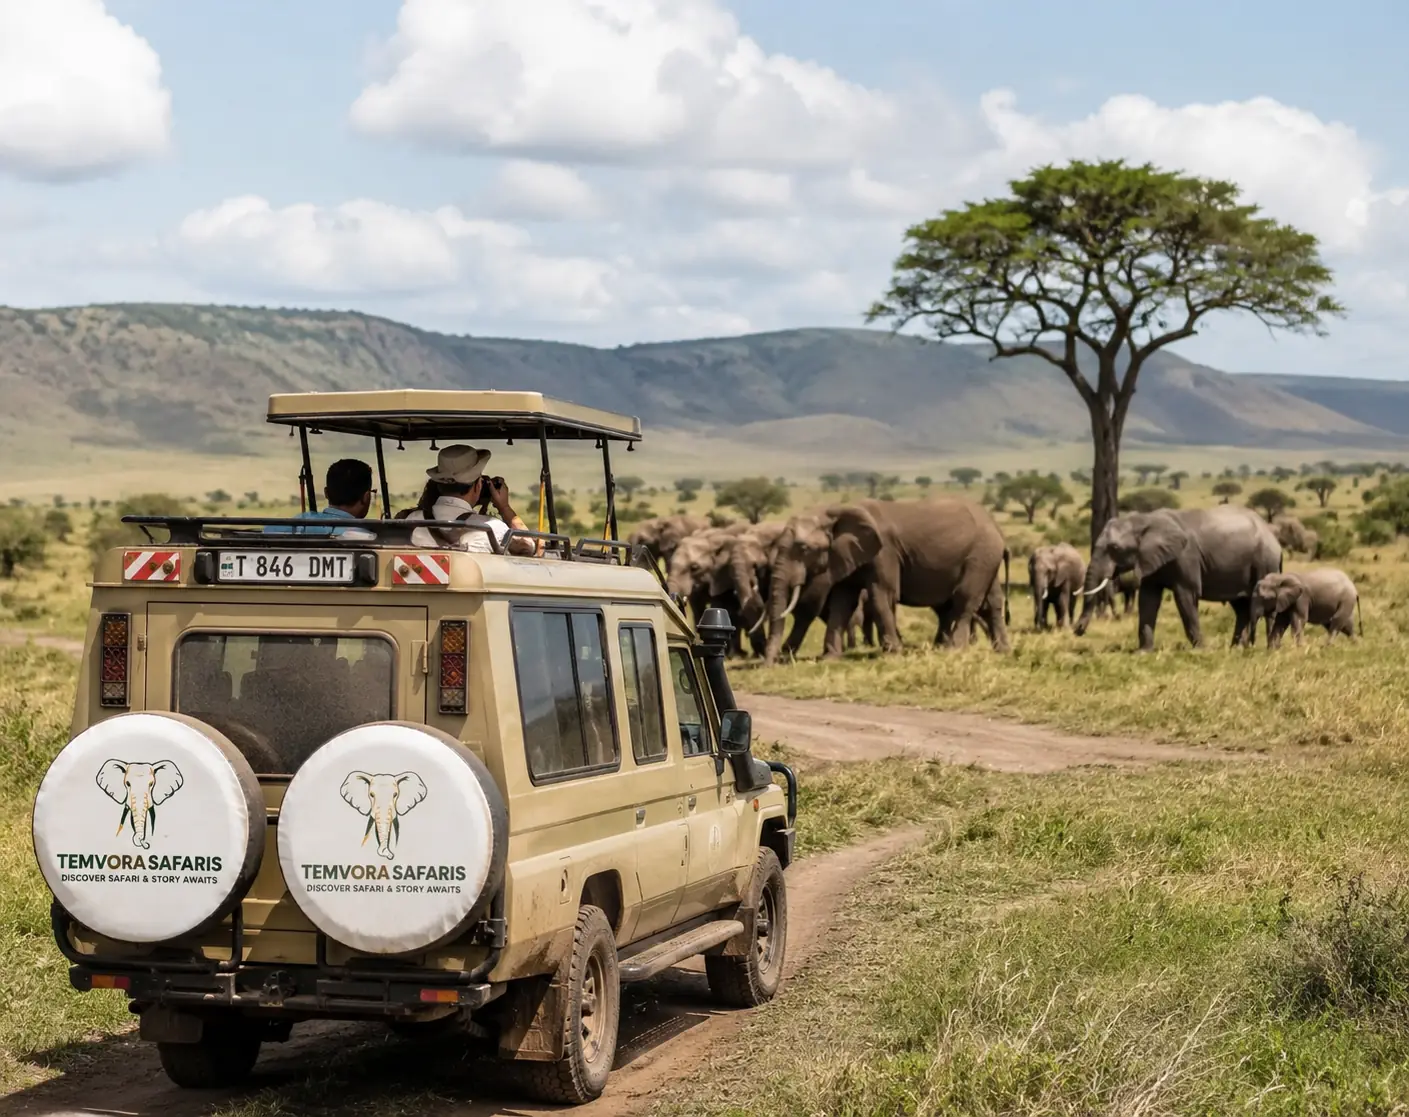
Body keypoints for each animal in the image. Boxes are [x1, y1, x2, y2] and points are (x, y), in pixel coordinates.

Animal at [764, 497, 1011, 662]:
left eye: (804, 549)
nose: (771, 664)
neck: (834, 511)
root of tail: (997, 527)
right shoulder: (847, 554)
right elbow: (843, 602)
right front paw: (829, 658)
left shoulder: (885, 552)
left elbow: (882, 594)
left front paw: (892, 654)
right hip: (987, 557)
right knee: (991, 602)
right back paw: (1002, 651)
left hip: (980, 555)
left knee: (965, 599)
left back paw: (954, 651)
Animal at [1072, 505, 1282, 650]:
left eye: (1114, 548)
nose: (1078, 630)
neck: (1144, 520)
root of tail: (1274, 539)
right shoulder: (1150, 559)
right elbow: (1148, 599)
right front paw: (1144, 652)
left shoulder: (1186, 556)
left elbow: (1185, 597)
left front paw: (1200, 650)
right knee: (1241, 607)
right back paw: (1236, 648)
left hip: (1265, 562)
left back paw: (1267, 648)